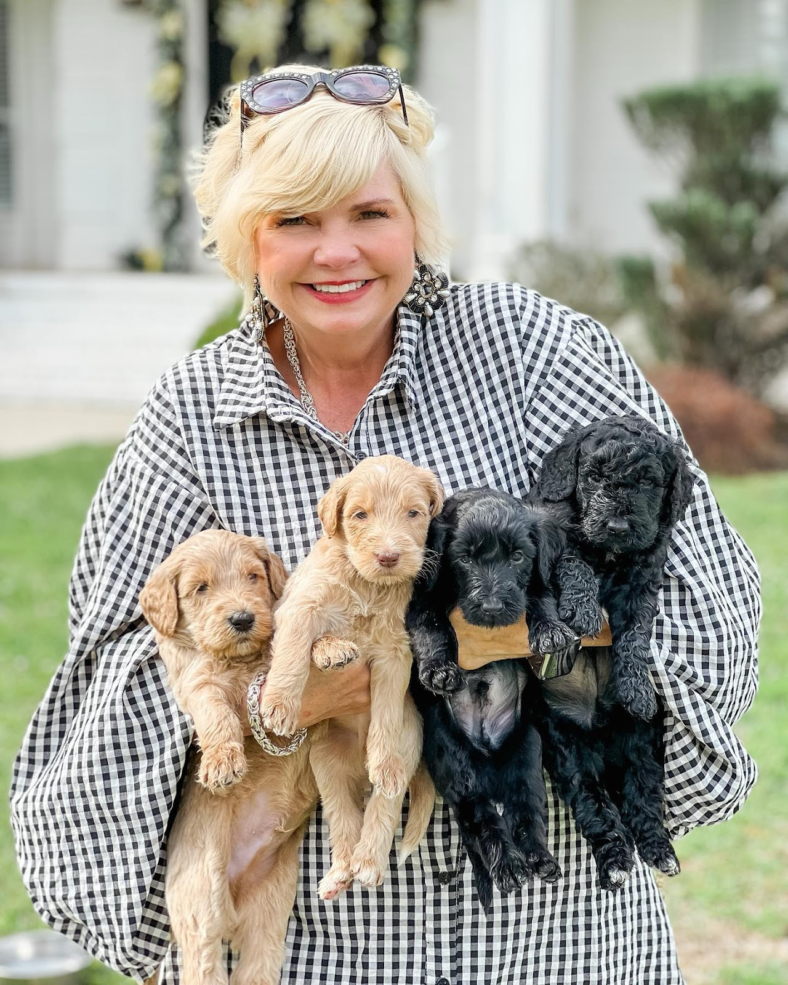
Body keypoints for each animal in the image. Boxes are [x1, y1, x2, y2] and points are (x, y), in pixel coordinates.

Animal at [140, 532, 318, 984]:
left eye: (253, 576)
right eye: (200, 588)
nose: (241, 619)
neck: (241, 659)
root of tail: (234, 905)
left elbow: (299, 645)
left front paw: (332, 647)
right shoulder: (196, 683)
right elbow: (215, 713)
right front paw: (222, 761)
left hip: (271, 911)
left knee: (258, 964)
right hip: (200, 902)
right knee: (203, 964)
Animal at [258, 454, 444, 900]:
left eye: (414, 513)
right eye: (360, 515)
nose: (389, 556)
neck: (367, 585)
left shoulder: (395, 653)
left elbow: (387, 710)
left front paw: (383, 758)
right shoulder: (299, 607)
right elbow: (294, 652)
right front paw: (281, 703)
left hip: (407, 748)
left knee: (383, 808)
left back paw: (368, 862)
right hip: (327, 768)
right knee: (343, 819)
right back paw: (340, 871)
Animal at [406, 488, 568, 912]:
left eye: (517, 556)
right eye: (464, 559)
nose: (493, 608)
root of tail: (488, 754)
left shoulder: (535, 581)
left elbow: (539, 597)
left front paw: (551, 631)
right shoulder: (421, 600)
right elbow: (433, 628)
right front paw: (440, 670)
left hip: (526, 754)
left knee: (527, 813)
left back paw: (538, 860)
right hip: (457, 767)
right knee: (482, 820)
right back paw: (509, 867)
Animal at [528, 412, 696, 720]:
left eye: (647, 482)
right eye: (595, 477)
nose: (617, 527)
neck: (610, 552)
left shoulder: (640, 585)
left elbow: (635, 634)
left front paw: (638, 690)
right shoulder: (554, 529)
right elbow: (573, 562)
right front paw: (584, 609)